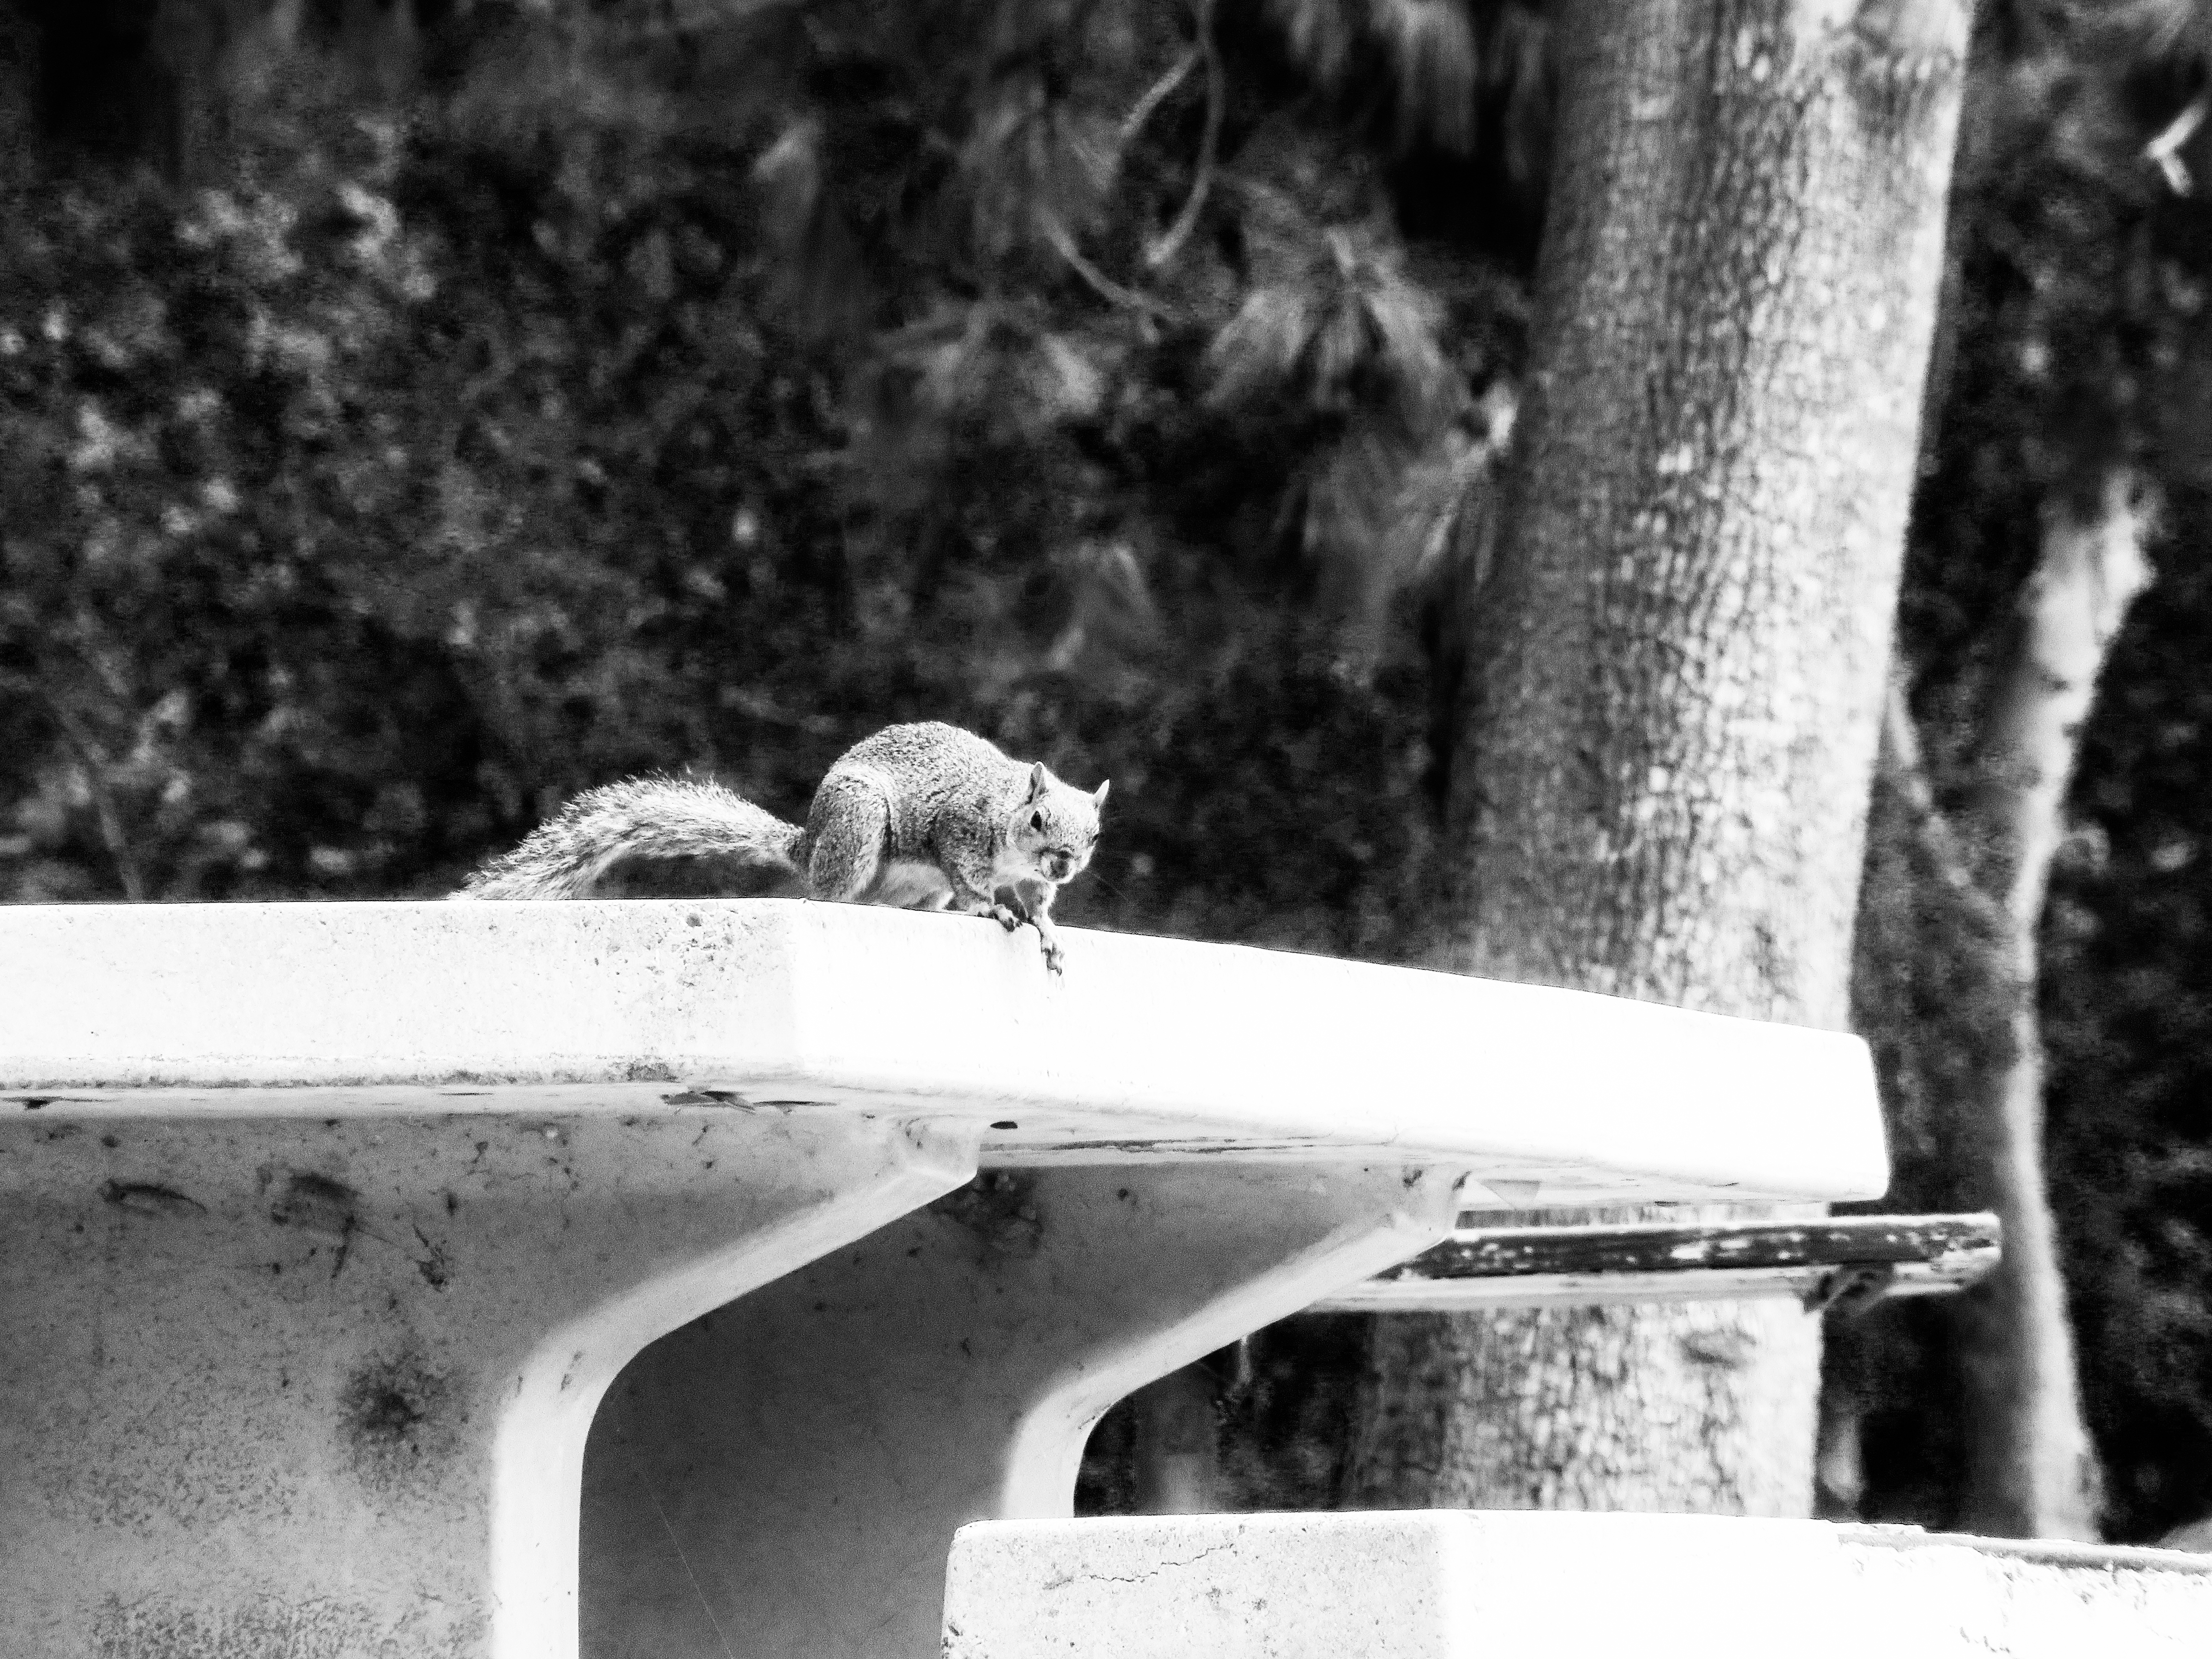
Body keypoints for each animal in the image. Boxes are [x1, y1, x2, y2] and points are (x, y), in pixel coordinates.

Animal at [453, 725, 1106, 973]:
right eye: (1039, 819)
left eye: (1094, 837)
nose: (1064, 863)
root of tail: (809, 844)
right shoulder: (958, 832)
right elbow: (971, 883)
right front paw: (992, 909)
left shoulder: (1032, 877)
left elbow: (1038, 903)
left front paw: (1048, 930)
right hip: (859, 827)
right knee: (830, 894)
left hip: (912, 882)